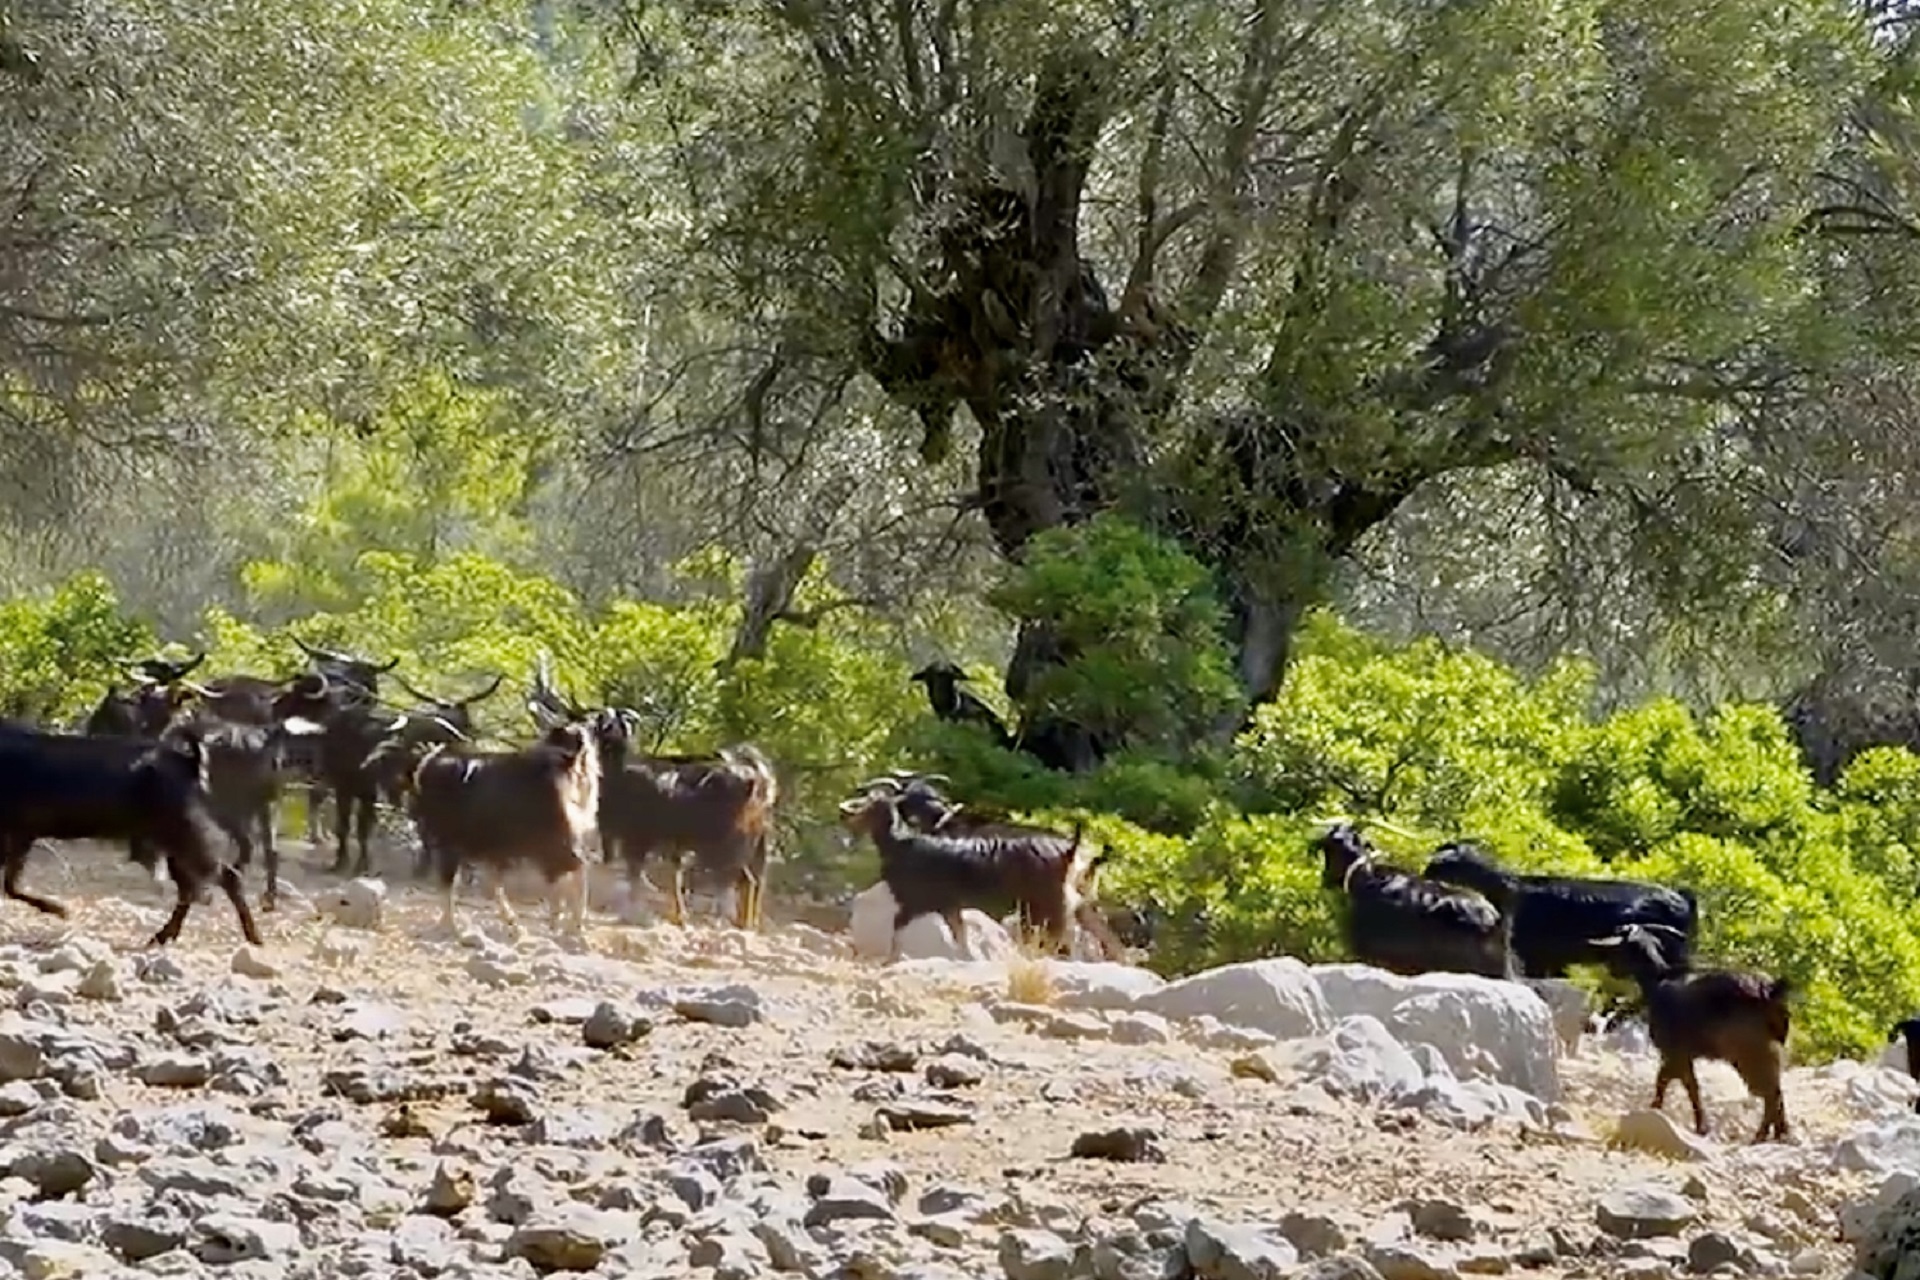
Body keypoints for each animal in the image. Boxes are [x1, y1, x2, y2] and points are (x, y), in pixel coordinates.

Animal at [1589, 921, 1781, 1143]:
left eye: (1619, 949)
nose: (1610, 970)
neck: (1657, 982)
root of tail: (1770, 994)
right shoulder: (1681, 1056)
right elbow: (1678, 1083)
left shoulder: (1674, 1054)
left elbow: (1676, 1083)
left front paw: (1694, 1124)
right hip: (1768, 1052)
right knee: (1776, 1091)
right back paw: (1780, 1133)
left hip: (1750, 1053)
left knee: (1770, 1093)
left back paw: (1761, 1136)